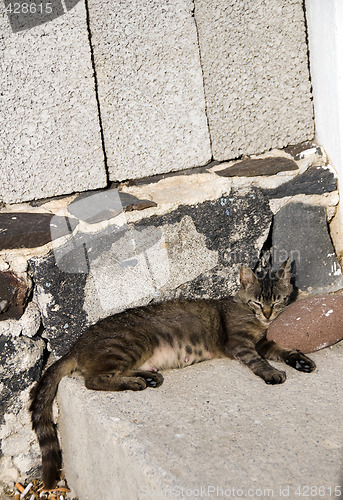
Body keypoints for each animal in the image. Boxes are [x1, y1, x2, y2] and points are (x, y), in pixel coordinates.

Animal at [30, 260, 318, 490]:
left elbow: (282, 349)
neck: (255, 320)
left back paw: (148, 377)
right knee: (94, 380)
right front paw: (271, 373)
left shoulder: (263, 342)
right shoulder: (240, 344)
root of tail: (75, 346)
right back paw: (136, 382)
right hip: (132, 343)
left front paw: (299, 360)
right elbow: (258, 361)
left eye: (277, 301)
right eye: (257, 302)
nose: (268, 315)